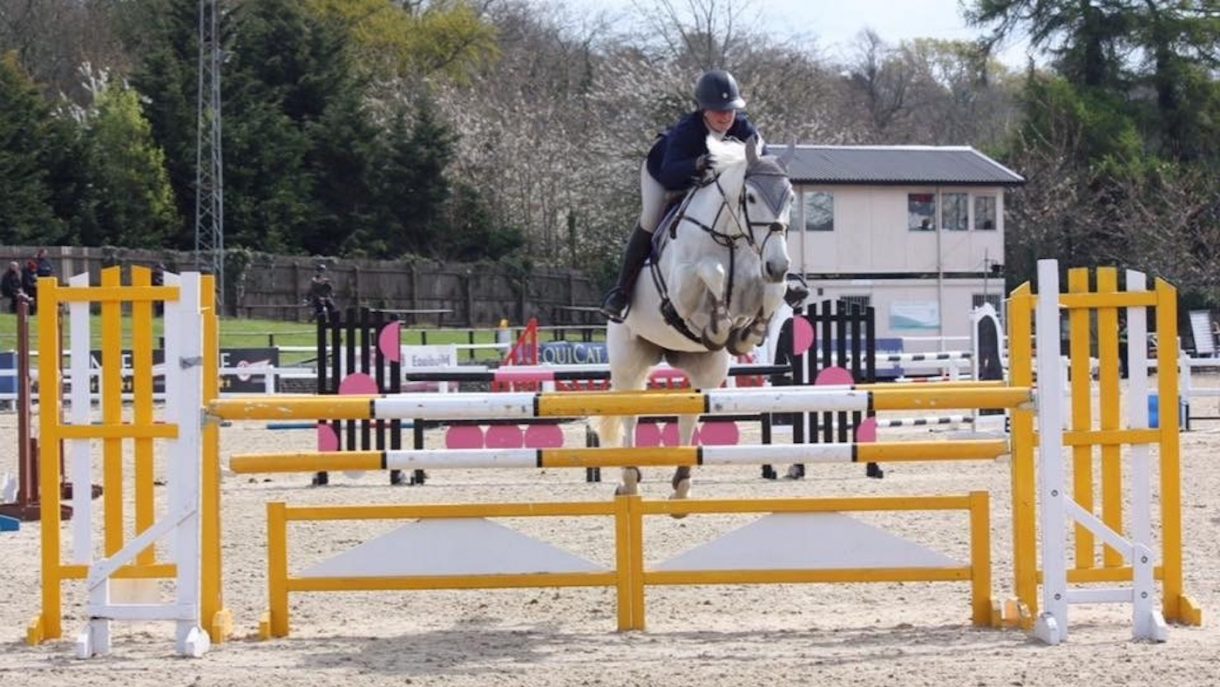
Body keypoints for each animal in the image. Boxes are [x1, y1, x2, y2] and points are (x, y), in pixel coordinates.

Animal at [598, 134, 795, 503]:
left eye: (790, 196)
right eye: (750, 197)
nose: (778, 264)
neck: (730, 237)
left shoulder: (760, 280)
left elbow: (775, 291)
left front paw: (744, 333)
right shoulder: (681, 286)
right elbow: (711, 269)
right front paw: (719, 323)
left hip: (706, 367)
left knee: (689, 412)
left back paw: (681, 485)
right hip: (628, 359)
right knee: (629, 410)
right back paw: (629, 479)